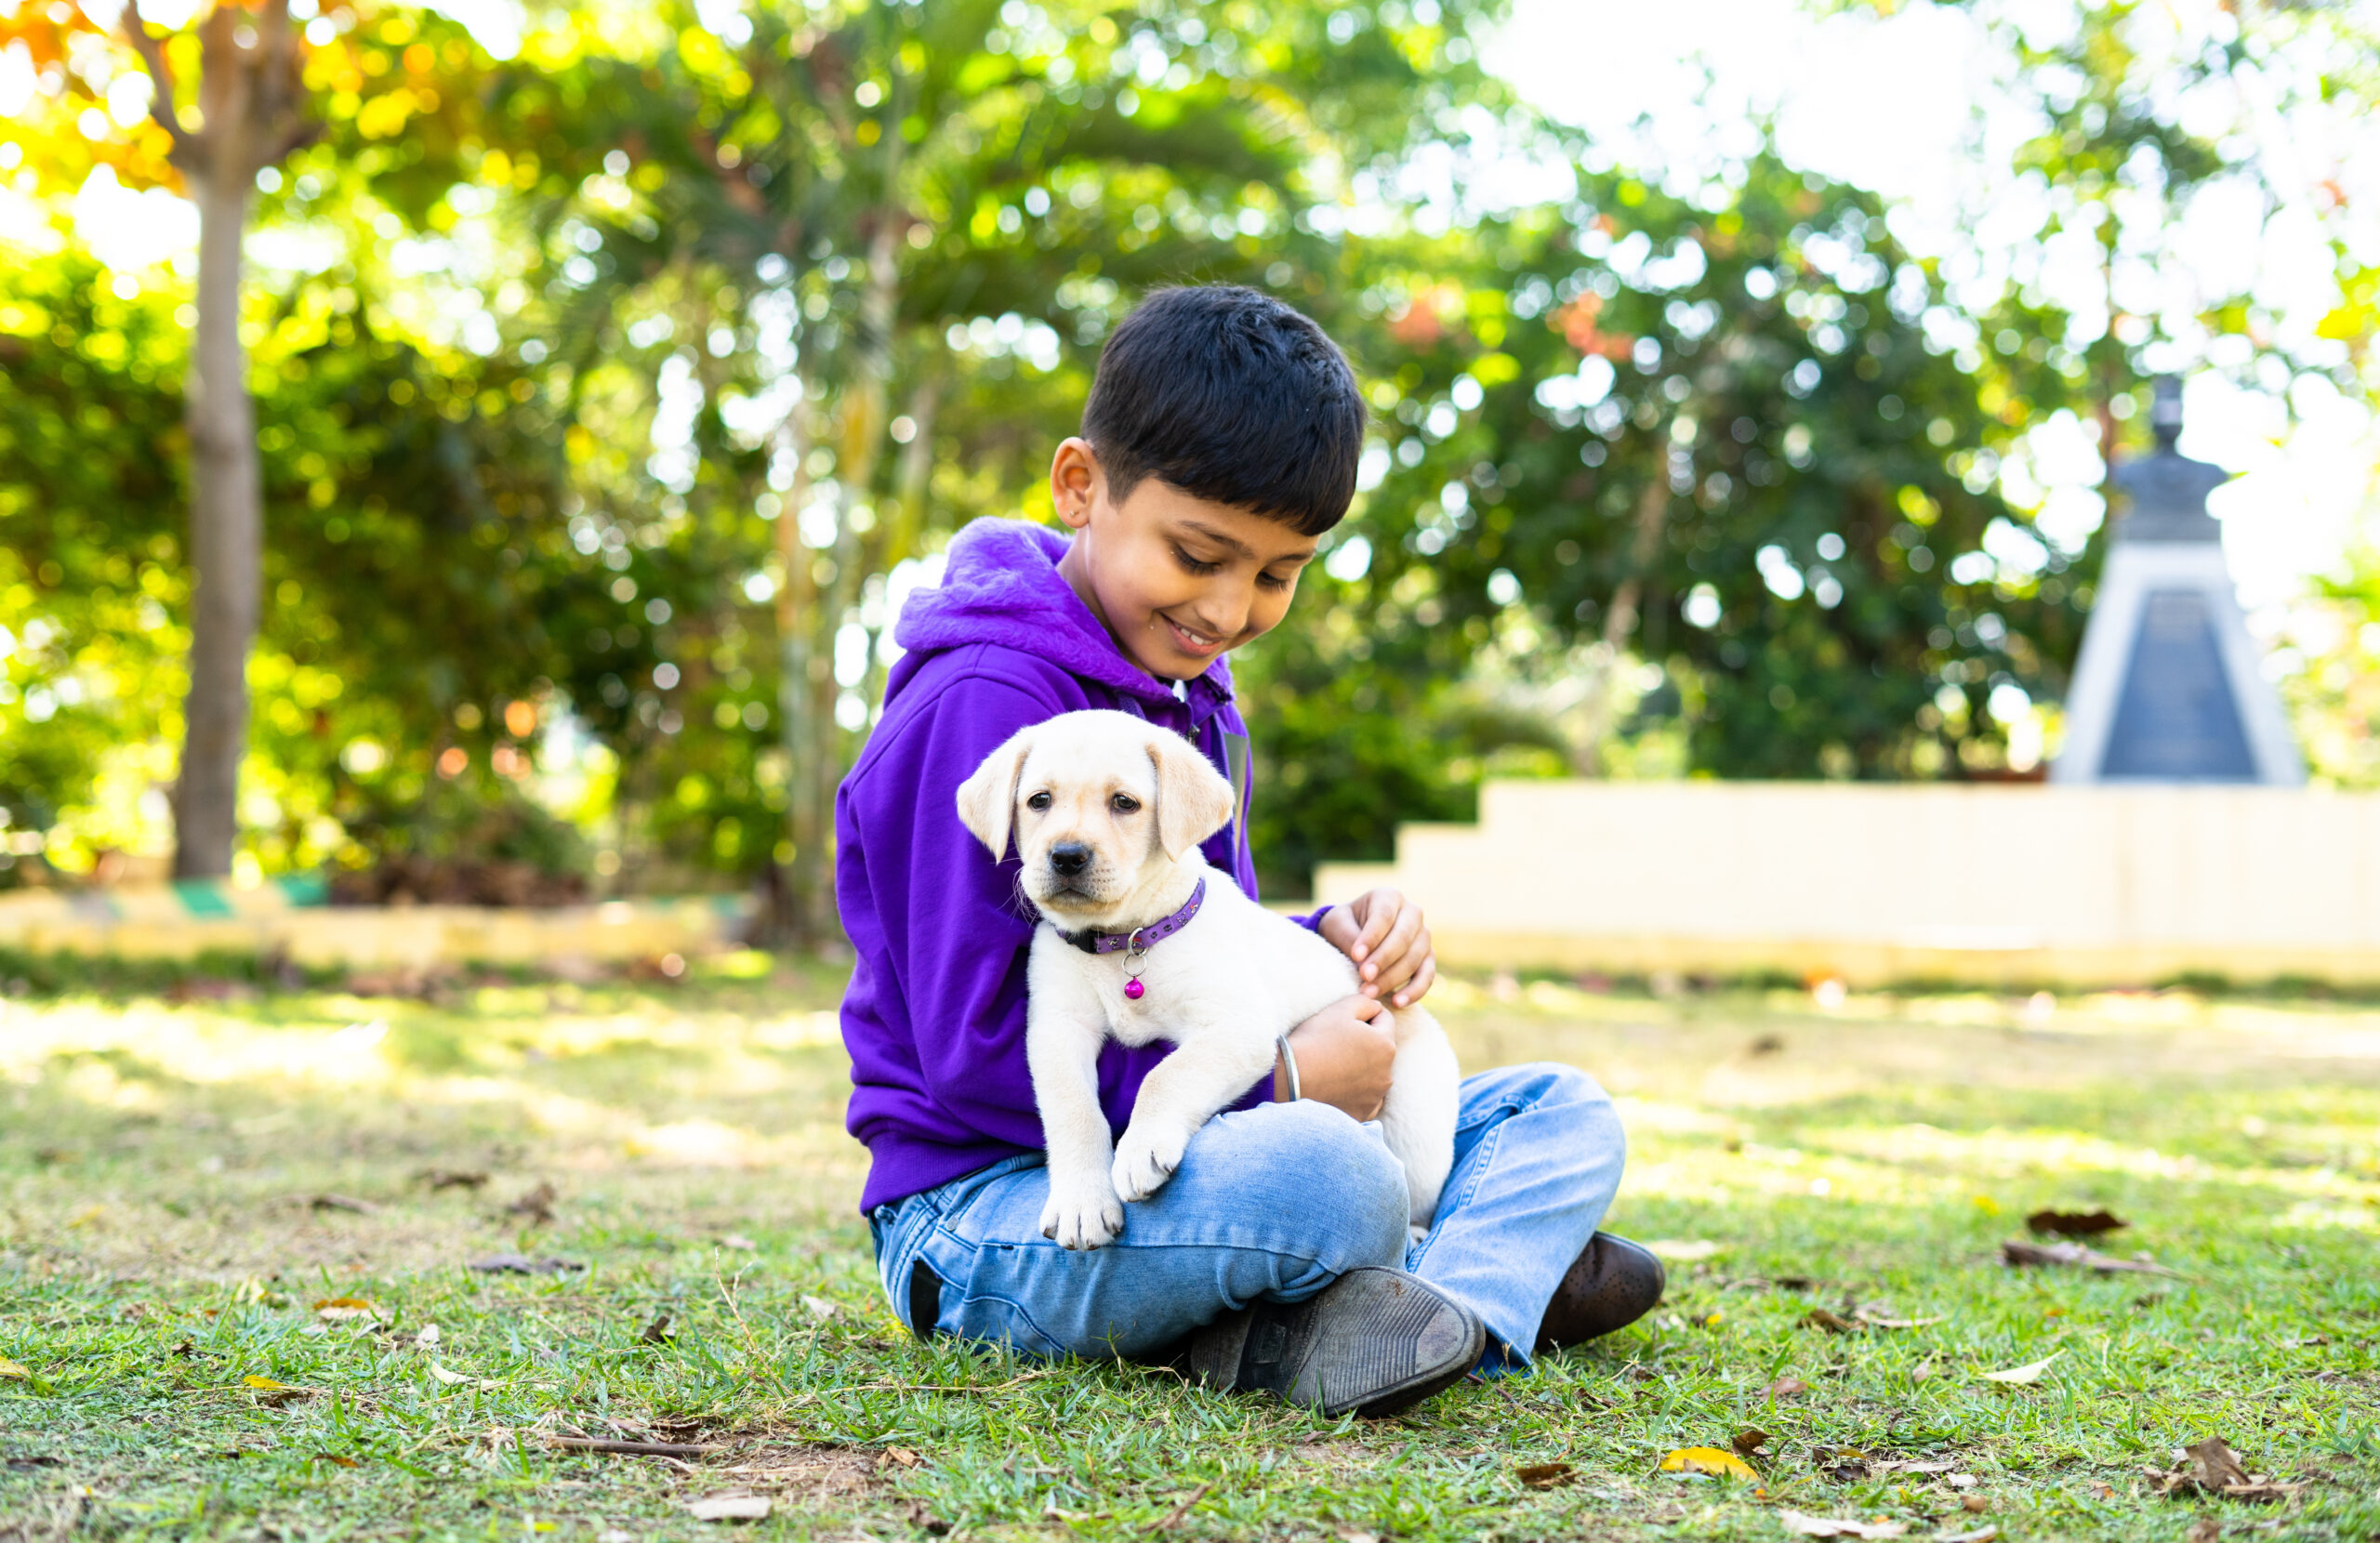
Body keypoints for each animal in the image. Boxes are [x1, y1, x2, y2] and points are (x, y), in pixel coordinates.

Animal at [957, 709, 1456, 1257]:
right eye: (1039, 801)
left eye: (1124, 803)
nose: (1067, 856)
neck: (1127, 941)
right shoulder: (1057, 1030)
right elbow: (1074, 1110)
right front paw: (1082, 1202)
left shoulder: (1237, 1026)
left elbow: (1164, 1076)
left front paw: (1140, 1149)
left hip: (1416, 1124)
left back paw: (1415, 1231)